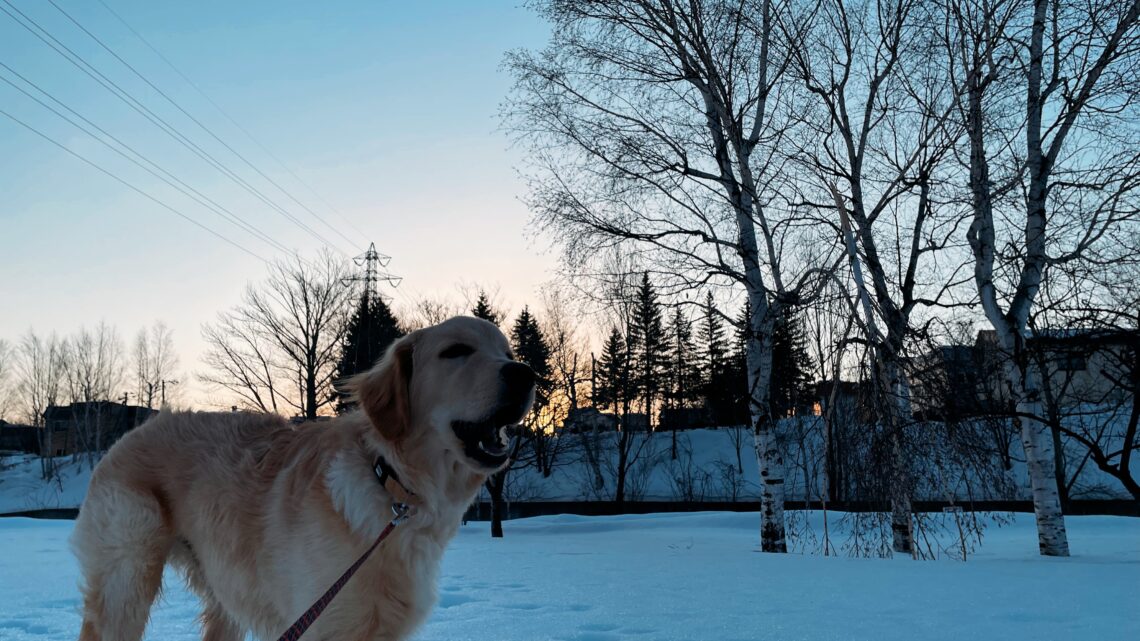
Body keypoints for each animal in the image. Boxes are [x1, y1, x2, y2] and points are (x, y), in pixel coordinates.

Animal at [70, 314, 533, 638]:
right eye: (455, 351)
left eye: (508, 353)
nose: (526, 374)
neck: (390, 483)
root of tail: (134, 431)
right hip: (128, 577)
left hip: (225, 590)